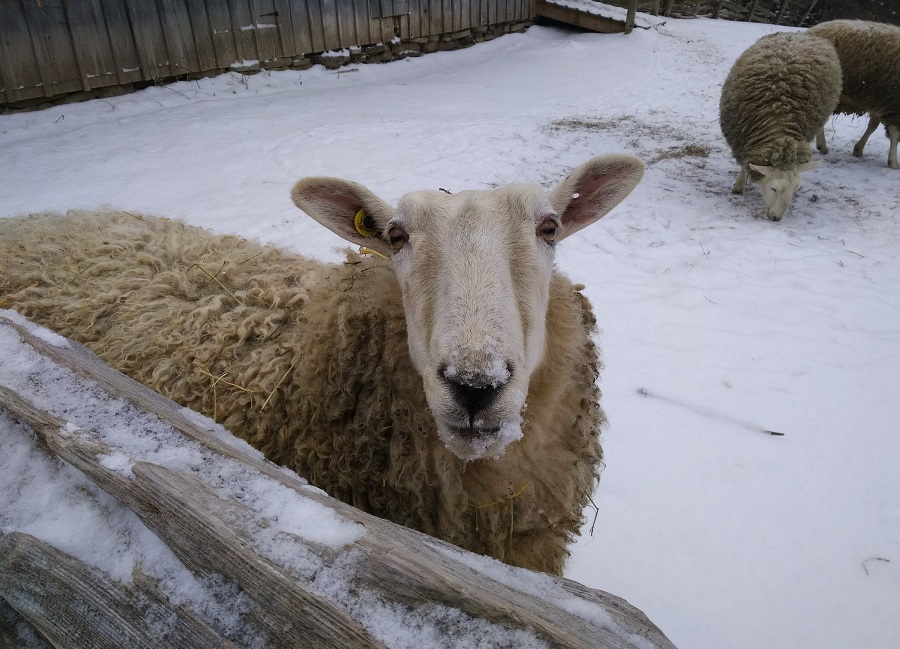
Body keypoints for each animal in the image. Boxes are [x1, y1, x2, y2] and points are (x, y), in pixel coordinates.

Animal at [716, 31, 844, 220]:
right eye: (773, 188)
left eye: (796, 189)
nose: (776, 218)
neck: (779, 115)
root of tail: (800, 34)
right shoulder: (741, 139)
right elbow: (745, 165)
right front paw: (739, 186)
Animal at [808, 19, 900, 168]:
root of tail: (811, 31)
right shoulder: (893, 103)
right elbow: (895, 135)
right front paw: (893, 162)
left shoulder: (878, 101)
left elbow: (873, 126)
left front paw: (858, 149)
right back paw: (822, 146)